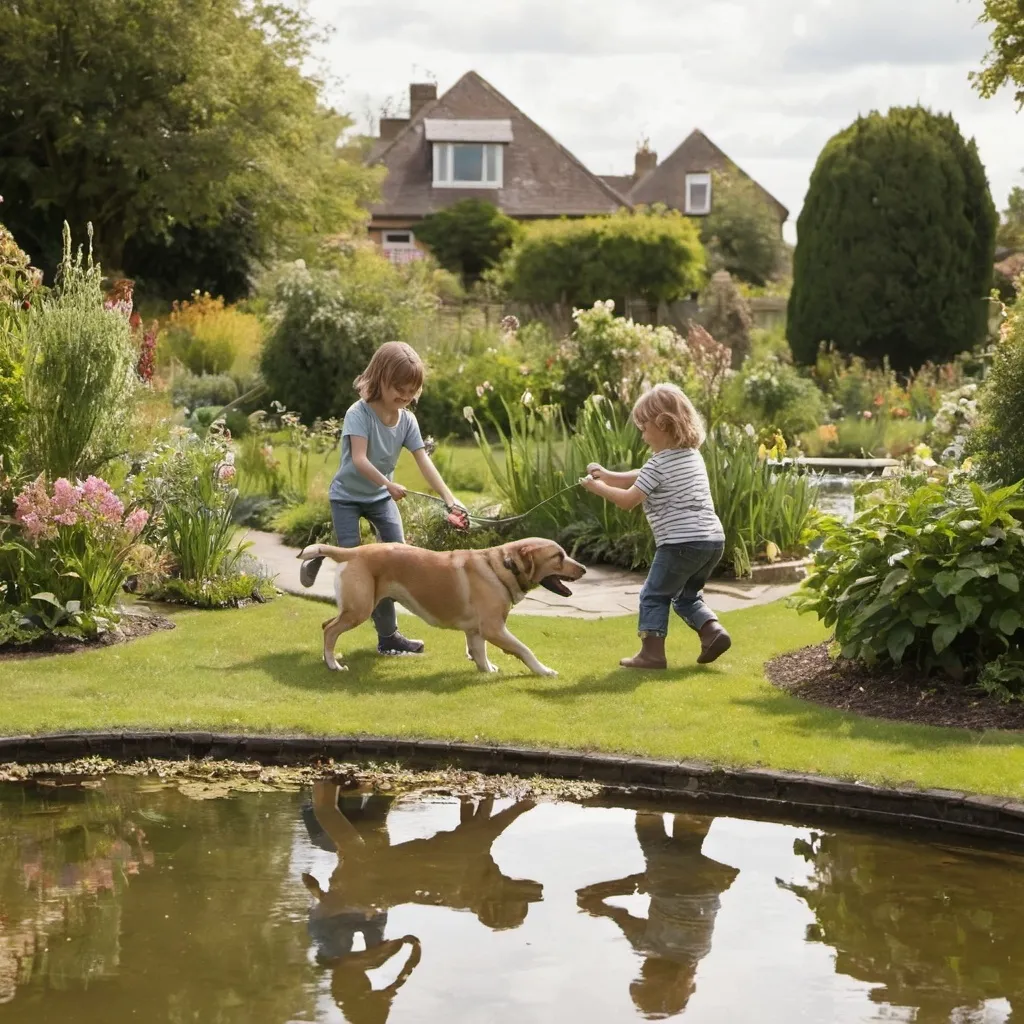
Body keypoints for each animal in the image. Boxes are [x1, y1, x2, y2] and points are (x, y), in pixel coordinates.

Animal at [296, 540, 585, 675]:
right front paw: (544, 671)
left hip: (354, 608)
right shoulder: (494, 628)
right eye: (559, 556)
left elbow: (479, 653)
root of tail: (352, 551)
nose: (583, 568)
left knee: (326, 625)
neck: (503, 567)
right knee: (330, 630)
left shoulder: (477, 631)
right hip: (359, 609)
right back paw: (333, 664)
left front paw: (486, 670)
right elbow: (525, 650)